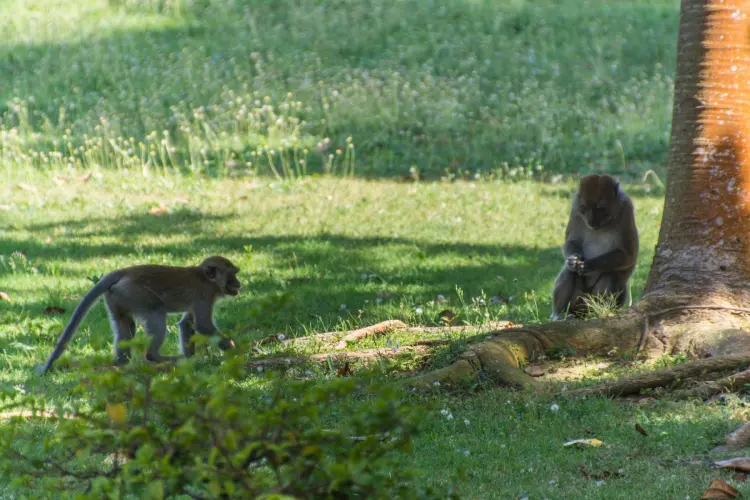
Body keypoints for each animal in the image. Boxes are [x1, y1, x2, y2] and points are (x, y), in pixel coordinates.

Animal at [36, 256, 241, 375]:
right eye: (232, 275)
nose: (239, 284)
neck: (206, 279)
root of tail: (125, 272)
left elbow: (186, 324)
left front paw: (190, 357)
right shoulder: (204, 295)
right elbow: (203, 325)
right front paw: (234, 350)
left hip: (116, 296)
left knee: (125, 326)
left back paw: (122, 362)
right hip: (134, 293)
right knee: (157, 312)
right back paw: (155, 357)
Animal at [551, 174, 639, 320]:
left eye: (601, 209)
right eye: (584, 208)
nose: (591, 221)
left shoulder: (626, 209)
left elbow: (629, 255)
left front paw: (589, 265)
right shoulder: (575, 209)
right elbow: (571, 242)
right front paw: (574, 259)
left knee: (611, 275)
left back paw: (600, 312)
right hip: (577, 300)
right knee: (570, 271)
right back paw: (561, 313)